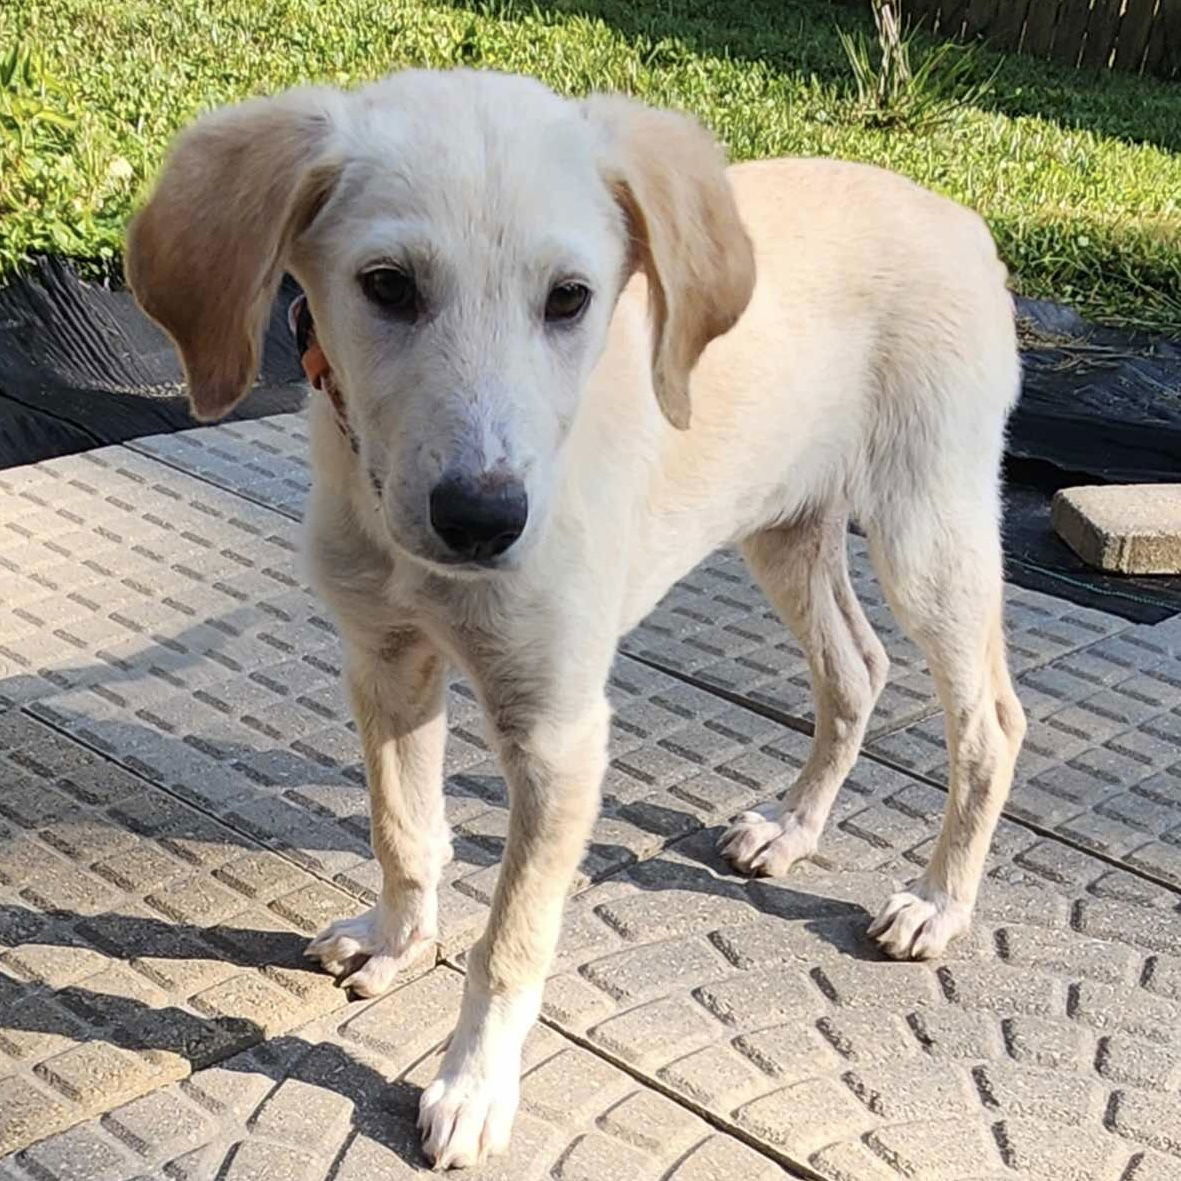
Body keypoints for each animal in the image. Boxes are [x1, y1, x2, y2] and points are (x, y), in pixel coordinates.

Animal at [126, 67, 1025, 1171]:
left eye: (569, 299)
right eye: (386, 286)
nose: (481, 518)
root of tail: (958, 217)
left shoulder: (558, 733)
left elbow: (511, 939)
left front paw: (473, 1086)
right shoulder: (385, 661)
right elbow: (402, 828)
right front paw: (398, 941)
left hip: (926, 524)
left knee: (988, 720)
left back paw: (935, 904)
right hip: (786, 525)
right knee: (854, 669)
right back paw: (791, 829)